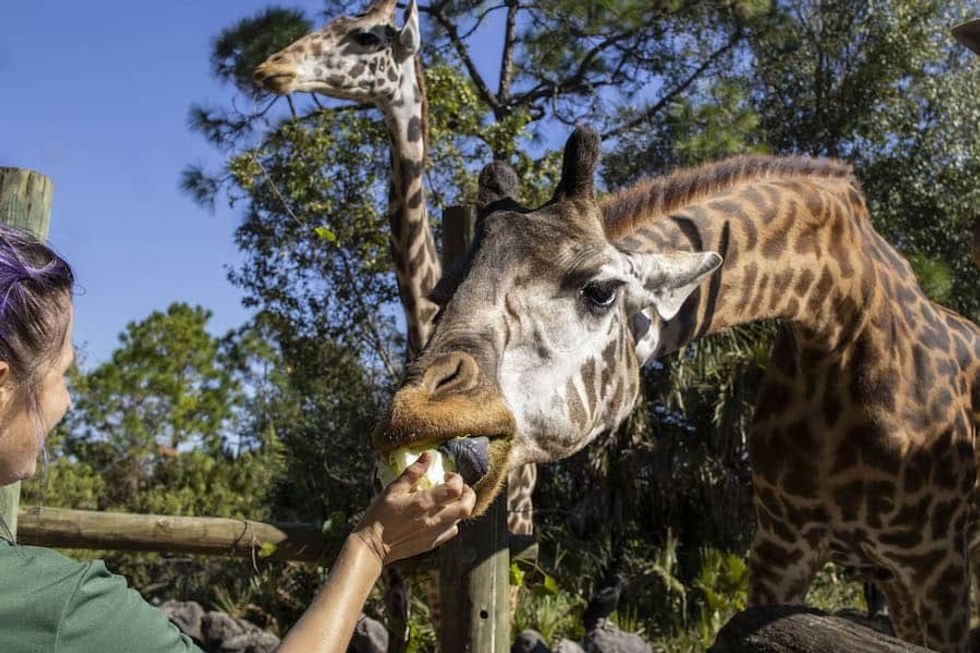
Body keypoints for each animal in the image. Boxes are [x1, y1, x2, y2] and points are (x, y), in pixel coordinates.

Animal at [376, 126, 980, 652]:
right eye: (443, 294)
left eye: (600, 291)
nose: (418, 414)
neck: (839, 332)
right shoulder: (781, 547)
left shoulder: (937, 566)